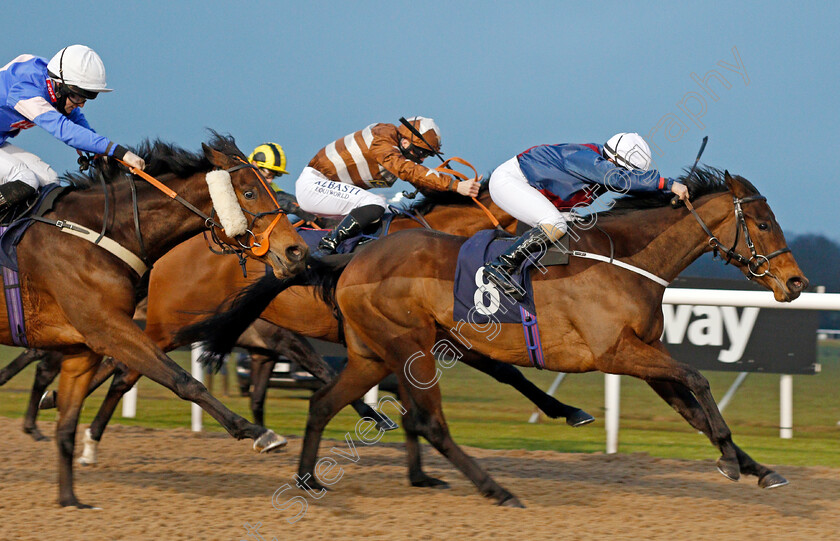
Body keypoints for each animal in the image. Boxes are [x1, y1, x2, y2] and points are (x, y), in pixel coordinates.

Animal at [0, 134, 308, 506]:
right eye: (249, 192)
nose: (297, 252)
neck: (99, 234)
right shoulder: (108, 328)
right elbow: (184, 380)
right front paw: (258, 432)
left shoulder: (84, 344)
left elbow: (68, 424)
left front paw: (70, 499)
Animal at [190, 167, 808, 504]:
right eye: (762, 223)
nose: (796, 283)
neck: (627, 260)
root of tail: (348, 259)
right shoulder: (616, 352)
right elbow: (699, 380)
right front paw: (732, 462)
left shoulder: (643, 354)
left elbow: (692, 406)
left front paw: (756, 468)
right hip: (409, 346)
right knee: (425, 420)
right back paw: (492, 488)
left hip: (376, 351)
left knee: (323, 401)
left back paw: (309, 478)